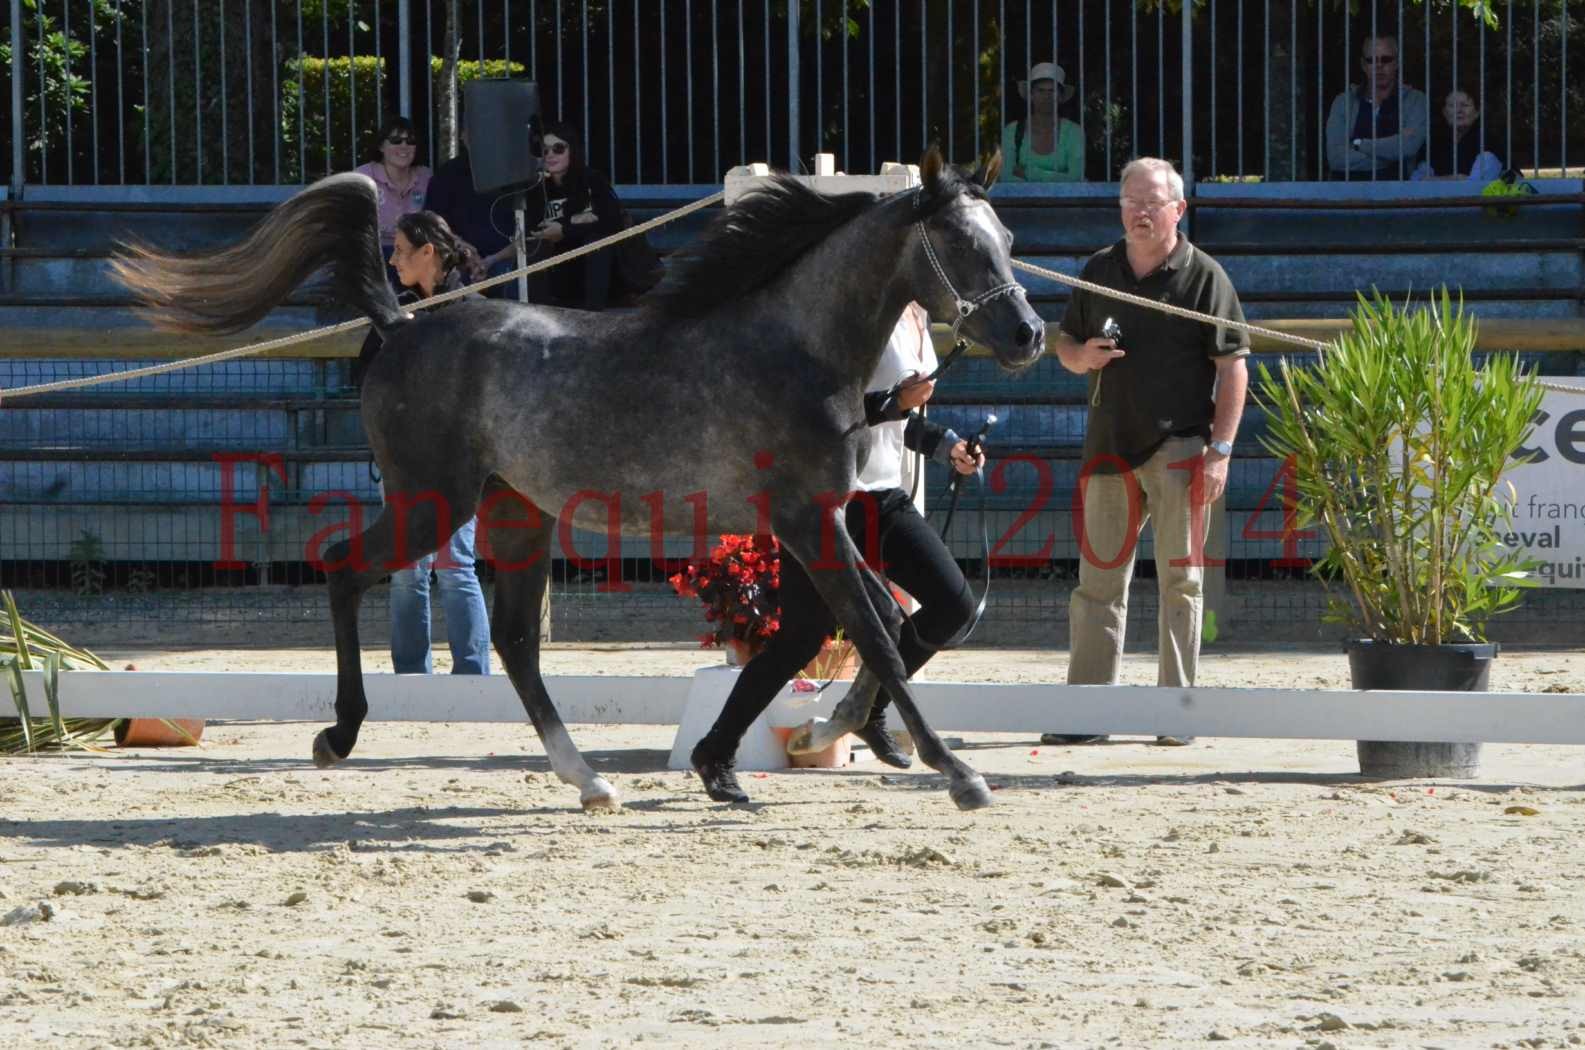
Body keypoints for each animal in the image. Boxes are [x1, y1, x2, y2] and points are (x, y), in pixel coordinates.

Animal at [117, 149, 1046, 812]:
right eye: (960, 243)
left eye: (1007, 242)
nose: (1028, 334)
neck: (796, 349)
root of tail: (402, 322)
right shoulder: (806, 519)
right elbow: (879, 633)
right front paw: (956, 774)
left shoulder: (814, 524)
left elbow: (864, 626)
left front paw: (833, 734)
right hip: (432, 503)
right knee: (347, 567)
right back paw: (339, 737)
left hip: (515, 513)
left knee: (514, 643)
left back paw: (589, 780)